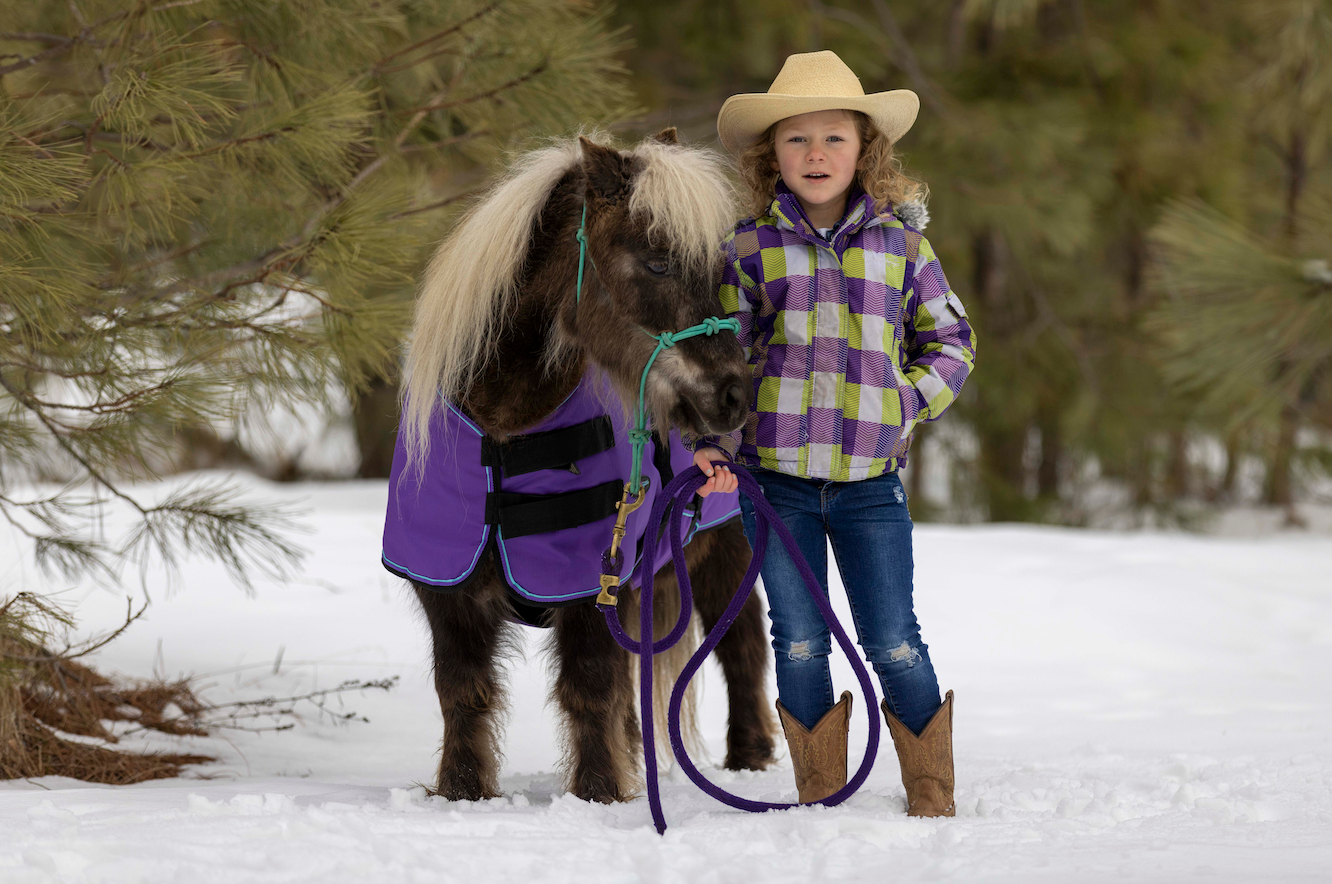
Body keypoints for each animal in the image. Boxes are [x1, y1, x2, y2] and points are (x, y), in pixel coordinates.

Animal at [385, 129, 776, 804]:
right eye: (657, 261)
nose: (733, 396)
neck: (506, 431)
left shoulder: (592, 585)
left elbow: (589, 687)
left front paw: (596, 793)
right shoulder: (447, 589)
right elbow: (462, 690)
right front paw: (462, 790)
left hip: (723, 547)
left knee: (742, 645)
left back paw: (749, 759)